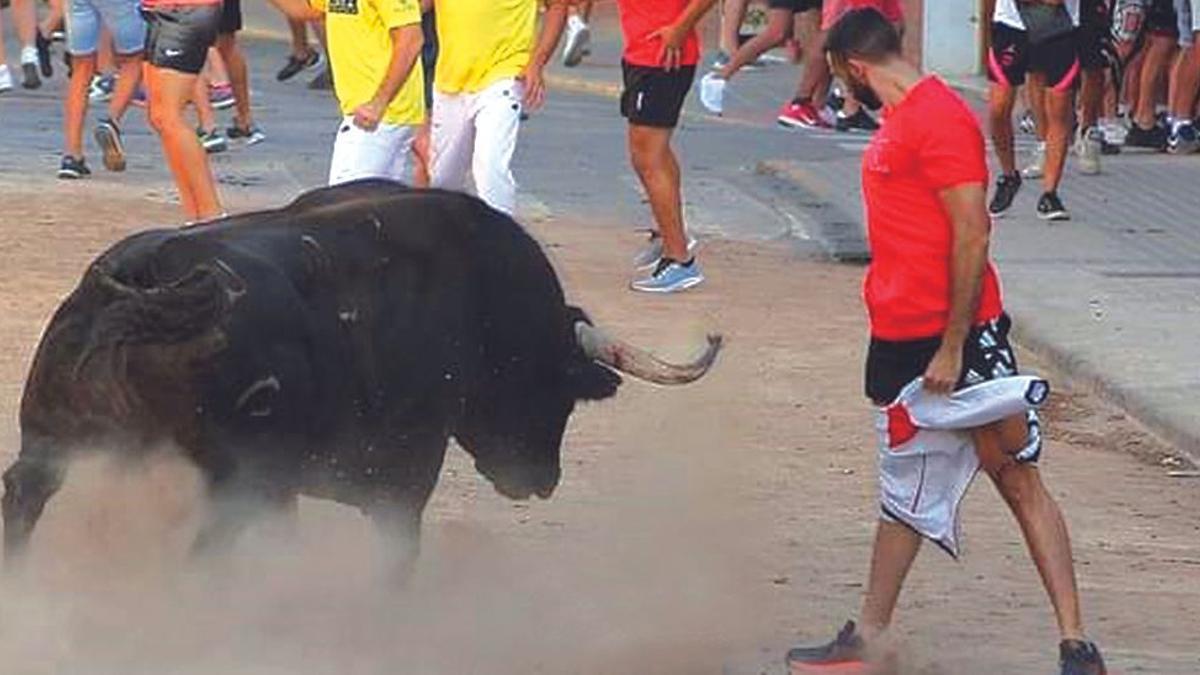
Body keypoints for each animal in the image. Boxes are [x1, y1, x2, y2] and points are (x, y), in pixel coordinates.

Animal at [0, 178, 720, 571]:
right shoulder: (402, 483)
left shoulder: (288, 492)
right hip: (229, 487)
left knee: (22, 509)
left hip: (49, 451)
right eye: (561, 388)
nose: (541, 480)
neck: (485, 300)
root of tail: (145, 282)